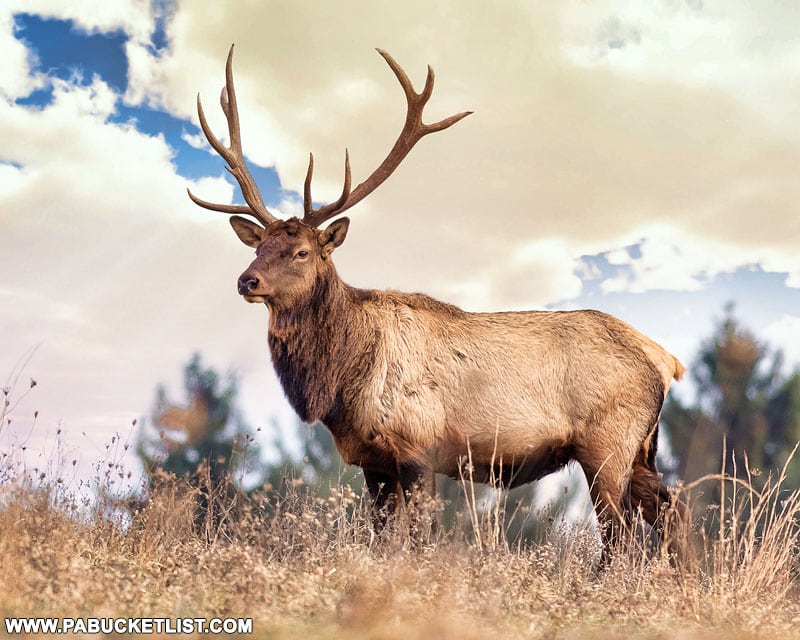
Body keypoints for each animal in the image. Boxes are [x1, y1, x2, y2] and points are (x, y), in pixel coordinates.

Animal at [191, 46, 692, 560]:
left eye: (302, 252)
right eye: (259, 246)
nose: (246, 280)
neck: (342, 381)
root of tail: (665, 359)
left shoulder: (417, 446)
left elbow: (420, 537)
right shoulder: (373, 461)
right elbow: (382, 537)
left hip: (607, 443)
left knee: (622, 535)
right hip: (641, 450)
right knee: (674, 510)